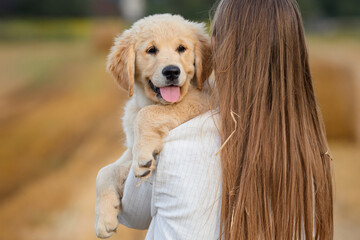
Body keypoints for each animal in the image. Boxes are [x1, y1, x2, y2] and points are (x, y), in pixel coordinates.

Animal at [95, 14, 214, 237]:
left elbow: (147, 114)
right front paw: (104, 218)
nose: (172, 72)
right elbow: (104, 171)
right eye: (151, 50)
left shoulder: (203, 99)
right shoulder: (129, 148)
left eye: (181, 48)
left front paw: (143, 157)